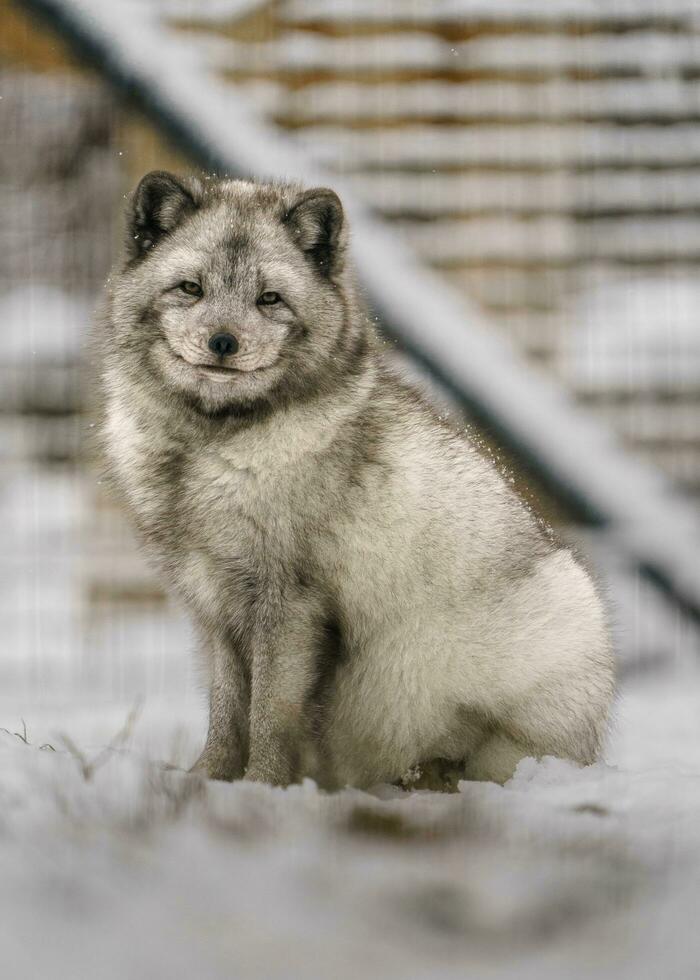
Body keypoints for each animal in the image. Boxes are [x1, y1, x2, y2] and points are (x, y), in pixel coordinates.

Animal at [98, 174, 612, 788]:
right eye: (190, 288)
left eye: (269, 298)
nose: (223, 342)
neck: (210, 445)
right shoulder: (214, 603)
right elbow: (226, 711)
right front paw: (205, 782)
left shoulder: (289, 602)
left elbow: (270, 714)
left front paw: (262, 787)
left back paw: (433, 775)